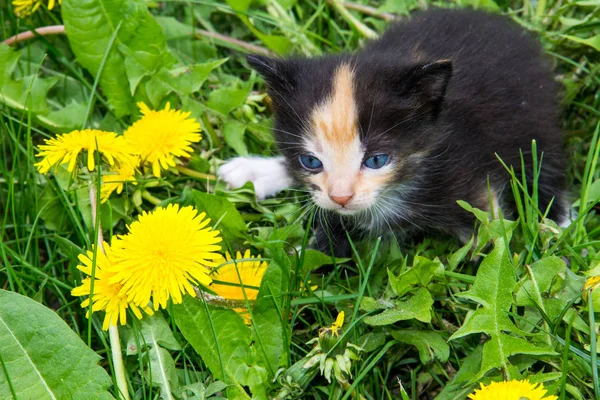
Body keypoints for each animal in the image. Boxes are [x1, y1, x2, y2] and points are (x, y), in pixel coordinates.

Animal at [218, 8, 564, 256]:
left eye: (376, 160)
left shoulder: (470, 179)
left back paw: (558, 225)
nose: (340, 197)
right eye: (311, 162)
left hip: (535, 119)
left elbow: (492, 242)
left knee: (546, 165)